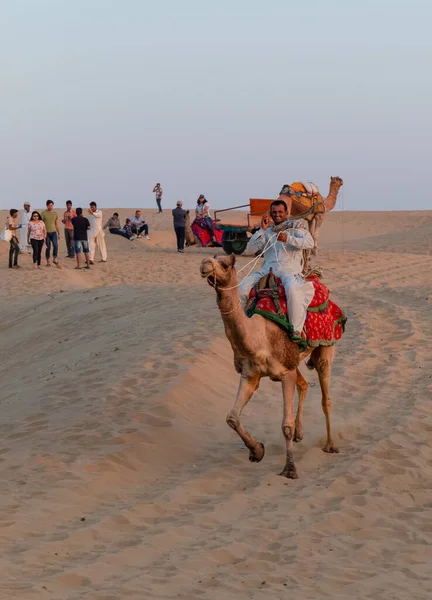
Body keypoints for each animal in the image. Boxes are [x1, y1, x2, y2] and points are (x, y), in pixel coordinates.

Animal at [201, 253, 340, 478]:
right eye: (211, 258)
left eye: (225, 263)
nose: (204, 265)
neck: (260, 337)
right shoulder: (251, 375)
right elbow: (232, 418)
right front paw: (257, 450)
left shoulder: (285, 373)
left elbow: (286, 425)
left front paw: (290, 468)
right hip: (294, 361)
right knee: (303, 385)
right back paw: (301, 434)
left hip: (326, 346)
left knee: (325, 396)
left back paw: (330, 445)